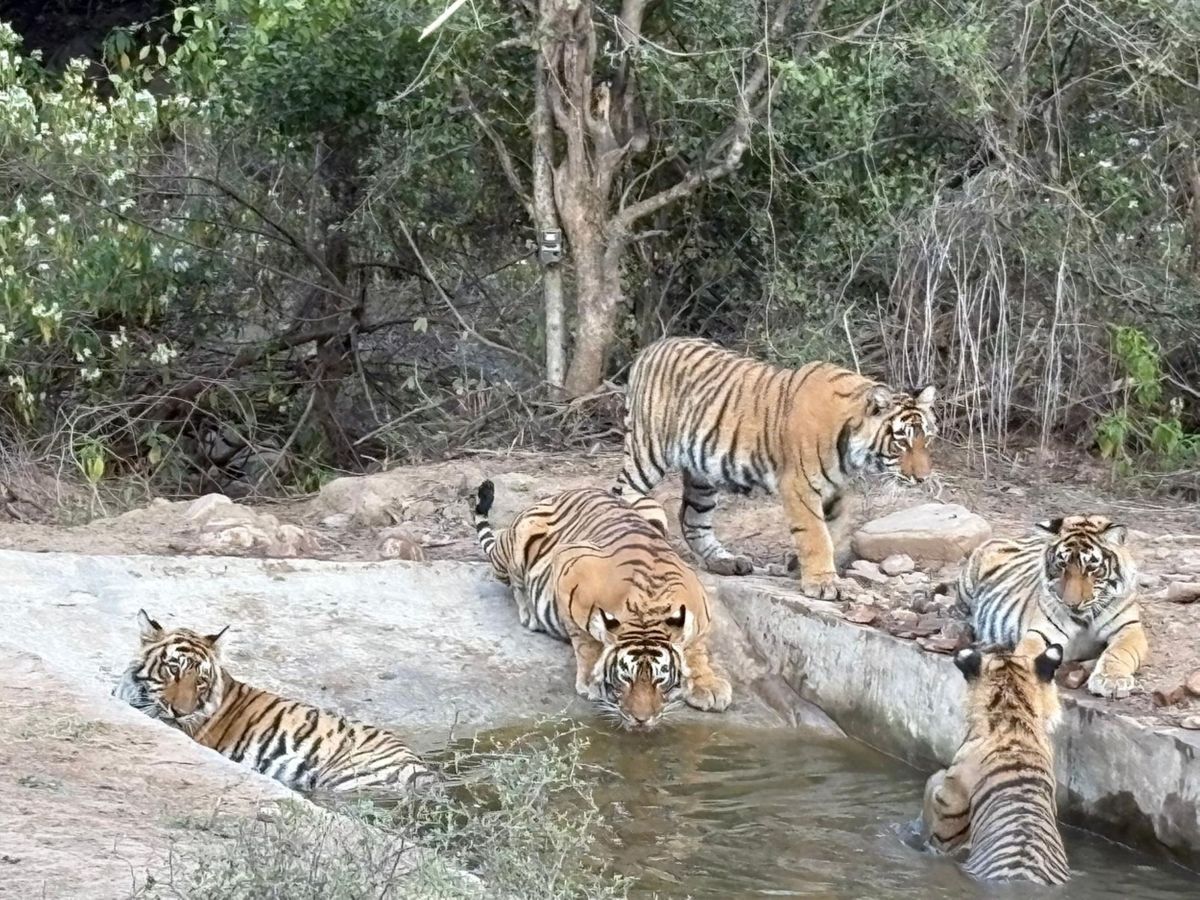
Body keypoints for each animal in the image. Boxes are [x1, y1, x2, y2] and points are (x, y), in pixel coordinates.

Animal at [472, 480, 732, 731]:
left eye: (659, 680)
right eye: (626, 678)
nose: (641, 719)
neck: (648, 610)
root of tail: (557, 494)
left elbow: (697, 650)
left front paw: (708, 686)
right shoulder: (568, 565)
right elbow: (585, 640)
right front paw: (592, 680)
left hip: (652, 507)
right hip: (520, 538)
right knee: (514, 581)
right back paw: (529, 613)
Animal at [614, 336, 937, 600]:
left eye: (928, 439)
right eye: (901, 442)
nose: (922, 479)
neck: (850, 448)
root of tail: (652, 347)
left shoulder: (834, 490)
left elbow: (833, 530)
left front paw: (800, 568)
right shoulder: (799, 485)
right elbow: (815, 534)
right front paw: (823, 583)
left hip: (702, 474)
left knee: (692, 519)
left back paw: (725, 561)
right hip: (647, 450)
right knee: (622, 492)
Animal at [957, 515, 1146, 699]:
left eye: (1091, 567)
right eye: (1062, 565)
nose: (1071, 603)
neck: (1085, 616)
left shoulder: (1129, 628)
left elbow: (1119, 651)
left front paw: (1110, 680)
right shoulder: (1042, 632)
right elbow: (1029, 652)